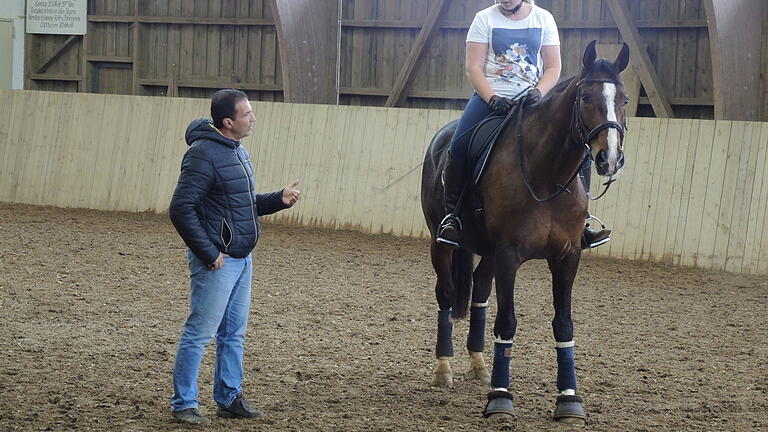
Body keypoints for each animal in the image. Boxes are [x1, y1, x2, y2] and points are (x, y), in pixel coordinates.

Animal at [420, 41, 632, 422]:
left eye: (623, 99)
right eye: (586, 97)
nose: (609, 159)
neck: (545, 174)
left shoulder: (567, 257)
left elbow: (564, 324)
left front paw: (569, 400)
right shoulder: (509, 256)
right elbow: (506, 322)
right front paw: (500, 398)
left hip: (487, 252)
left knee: (479, 290)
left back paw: (478, 364)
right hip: (441, 242)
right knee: (445, 293)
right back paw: (443, 368)